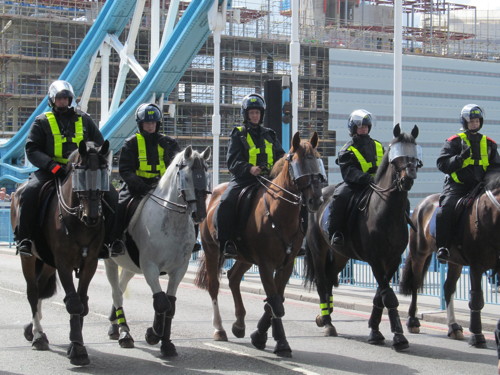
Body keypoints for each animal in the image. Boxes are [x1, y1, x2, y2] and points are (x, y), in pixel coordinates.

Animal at [10, 141, 110, 368]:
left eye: (104, 173)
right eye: (80, 174)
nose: (92, 217)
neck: (77, 219)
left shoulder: (90, 263)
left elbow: (82, 304)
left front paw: (77, 345)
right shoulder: (64, 263)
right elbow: (74, 303)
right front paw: (78, 350)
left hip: (48, 263)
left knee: (39, 288)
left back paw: (32, 329)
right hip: (29, 258)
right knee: (32, 291)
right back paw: (38, 336)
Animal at [195, 132, 324, 358]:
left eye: (317, 160)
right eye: (297, 162)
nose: (316, 200)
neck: (278, 213)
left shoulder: (287, 264)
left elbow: (276, 300)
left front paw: (261, 336)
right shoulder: (265, 264)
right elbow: (275, 303)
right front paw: (280, 342)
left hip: (245, 257)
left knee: (233, 278)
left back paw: (239, 324)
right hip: (212, 250)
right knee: (214, 286)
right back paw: (219, 329)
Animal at [302, 125, 420, 352]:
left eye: (414, 154)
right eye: (395, 157)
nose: (408, 178)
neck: (385, 210)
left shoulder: (393, 260)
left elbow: (380, 295)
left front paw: (375, 330)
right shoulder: (375, 260)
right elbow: (388, 296)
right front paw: (398, 336)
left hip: (340, 255)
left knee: (330, 279)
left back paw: (325, 316)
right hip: (318, 249)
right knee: (322, 281)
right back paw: (327, 323)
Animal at [400, 169, 500, 348]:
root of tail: (422, 204)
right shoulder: (476, 265)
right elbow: (476, 298)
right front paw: (477, 335)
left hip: (455, 261)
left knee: (448, 288)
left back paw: (453, 327)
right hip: (419, 253)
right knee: (416, 285)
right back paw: (412, 321)